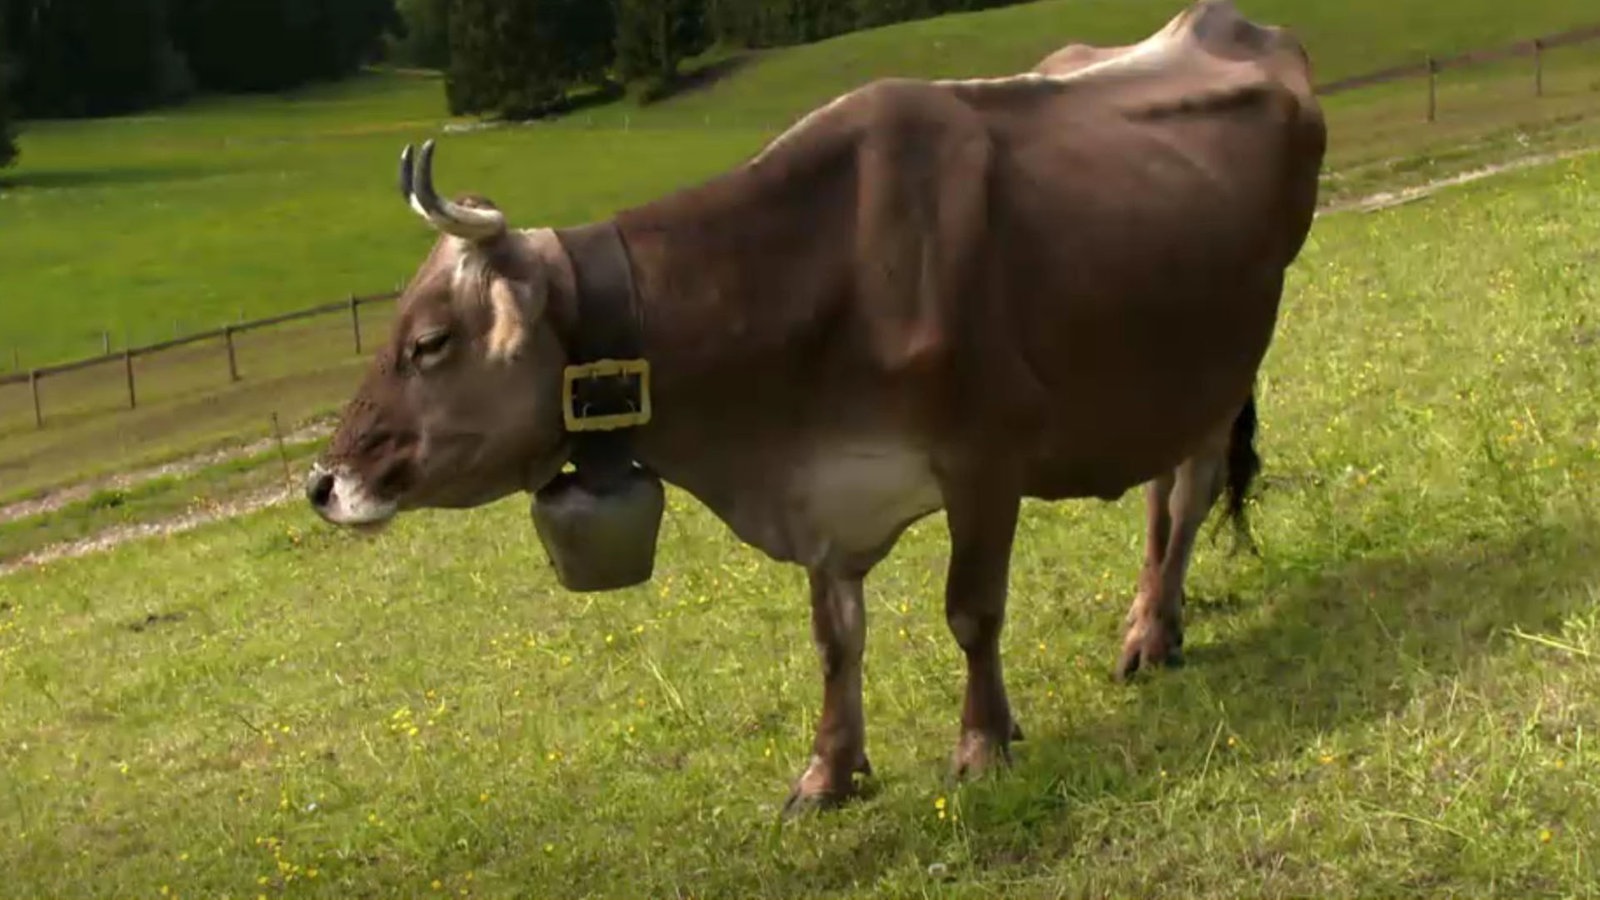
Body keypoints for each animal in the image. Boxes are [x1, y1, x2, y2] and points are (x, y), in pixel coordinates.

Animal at [302, 0, 1324, 813]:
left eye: (430, 342)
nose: (323, 480)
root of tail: (1227, 21)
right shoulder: (821, 490)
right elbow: (835, 641)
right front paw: (830, 774)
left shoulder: (986, 457)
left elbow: (971, 612)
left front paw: (982, 744)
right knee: (1163, 496)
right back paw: (1157, 624)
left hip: (1229, 355)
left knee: (1187, 491)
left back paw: (1151, 632)